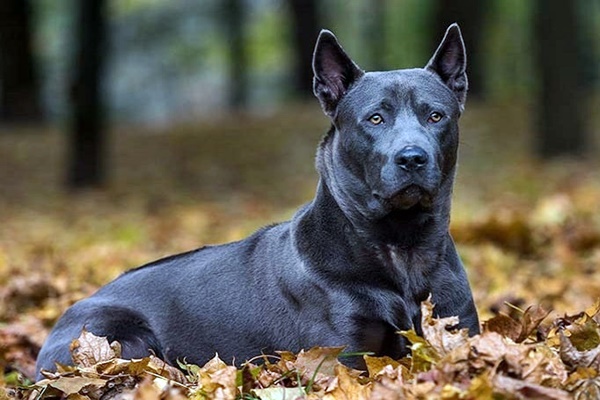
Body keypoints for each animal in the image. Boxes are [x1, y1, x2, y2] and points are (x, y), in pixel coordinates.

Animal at [36, 23, 478, 380]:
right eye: (375, 119)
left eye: (436, 116)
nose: (412, 158)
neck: (401, 246)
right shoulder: (344, 355)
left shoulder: (459, 332)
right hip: (119, 337)